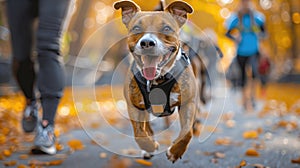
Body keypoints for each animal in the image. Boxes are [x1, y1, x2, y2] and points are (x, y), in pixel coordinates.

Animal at [113, 0, 199, 163]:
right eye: (136, 28)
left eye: (166, 28)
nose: (147, 42)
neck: (157, 80)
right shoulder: (134, 106)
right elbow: (139, 133)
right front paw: (149, 147)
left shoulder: (188, 103)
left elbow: (187, 133)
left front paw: (175, 151)